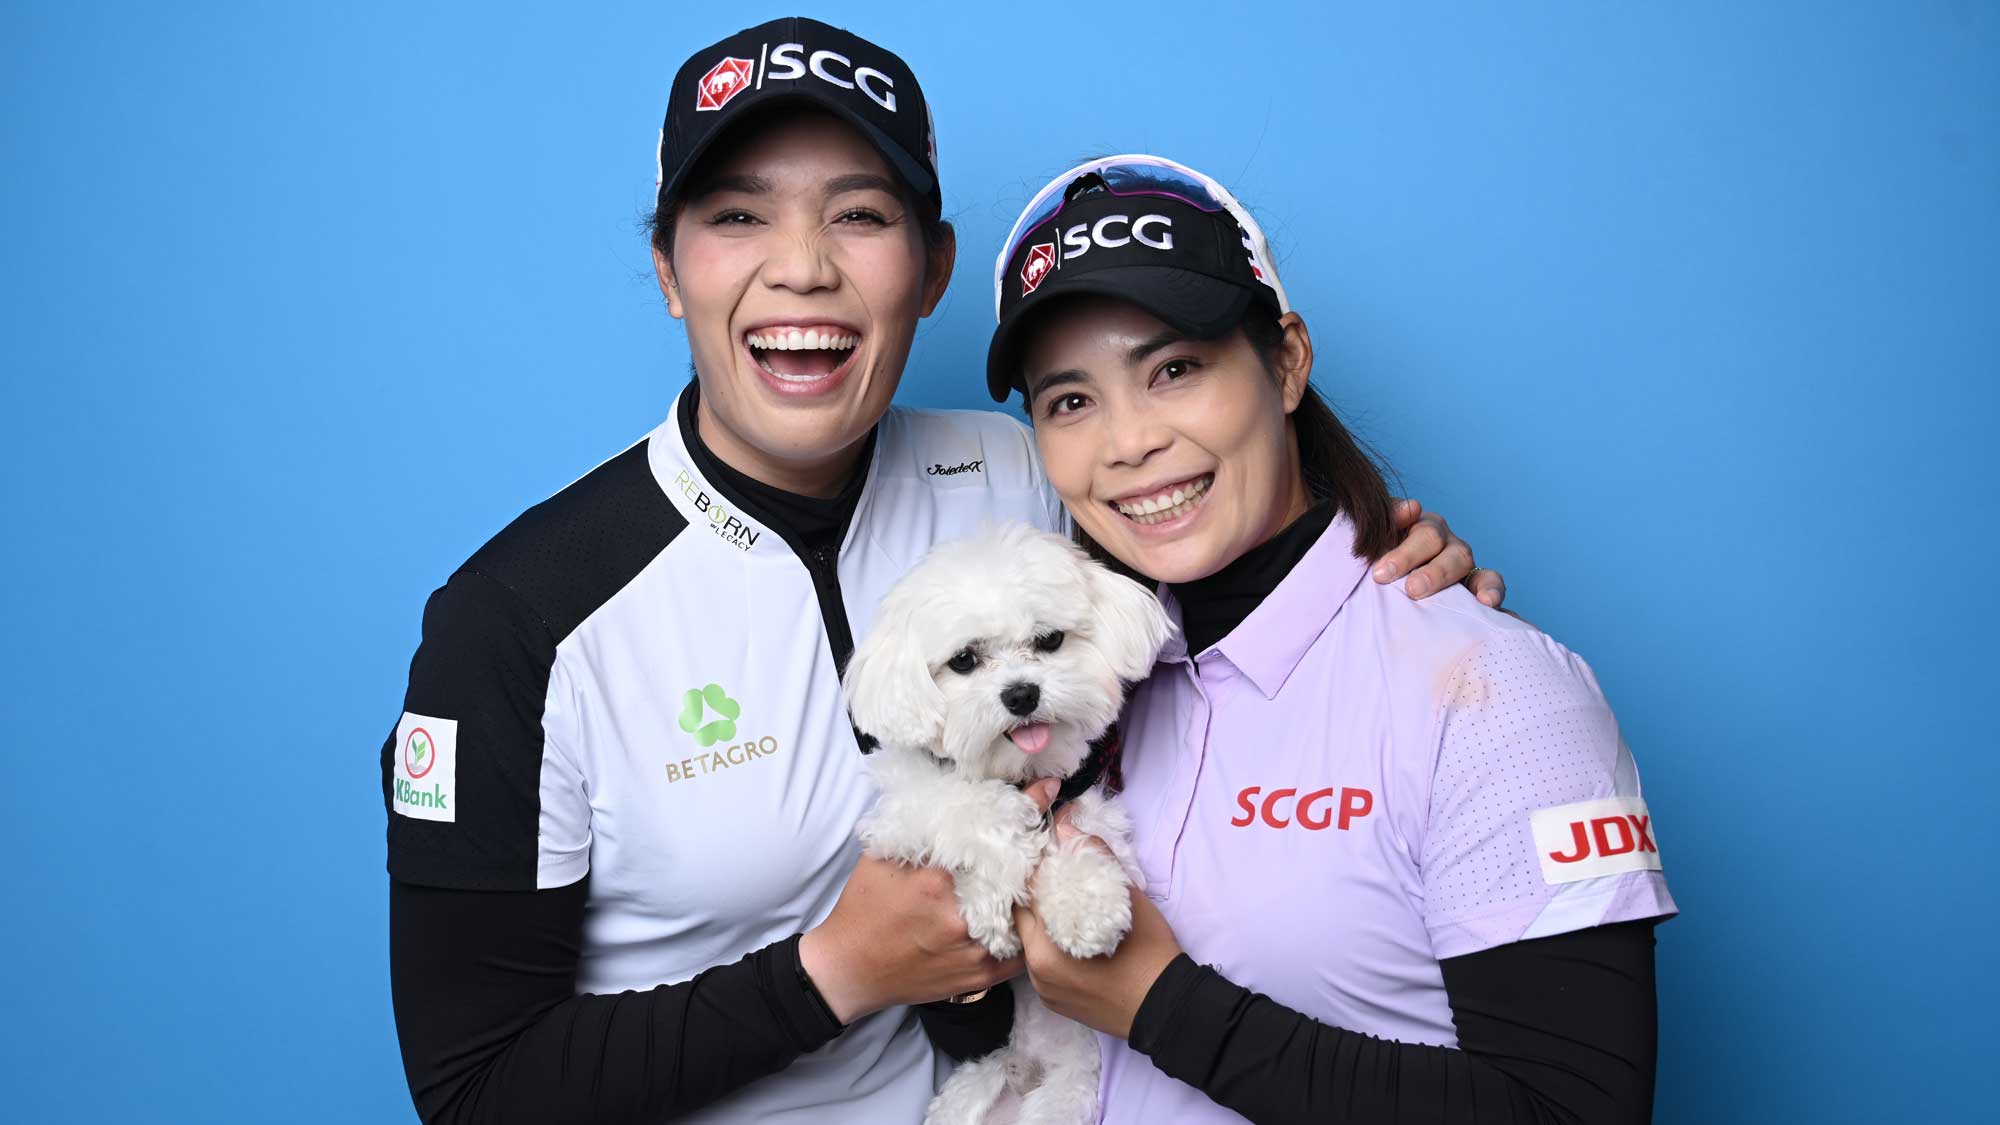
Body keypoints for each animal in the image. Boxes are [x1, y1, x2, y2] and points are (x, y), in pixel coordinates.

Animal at [840, 524, 1168, 1120]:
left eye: (1050, 640)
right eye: (964, 660)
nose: (1021, 694)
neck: (1018, 774)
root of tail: (1023, 1070)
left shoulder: (1096, 821)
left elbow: (1075, 845)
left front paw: (1085, 904)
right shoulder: (902, 810)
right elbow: (962, 803)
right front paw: (994, 892)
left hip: (1065, 1096)